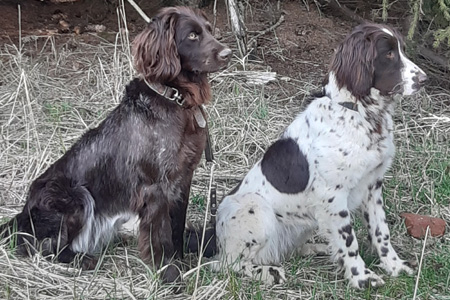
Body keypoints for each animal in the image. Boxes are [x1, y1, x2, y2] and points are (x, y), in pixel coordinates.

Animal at [213, 23, 428, 288]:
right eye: (388, 54)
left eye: (402, 50)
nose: (424, 79)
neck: (360, 113)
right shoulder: (333, 195)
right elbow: (349, 240)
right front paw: (361, 277)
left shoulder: (372, 185)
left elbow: (381, 231)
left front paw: (394, 266)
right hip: (255, 208)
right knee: (230, 265)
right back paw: (268, 272)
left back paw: (320, 249)